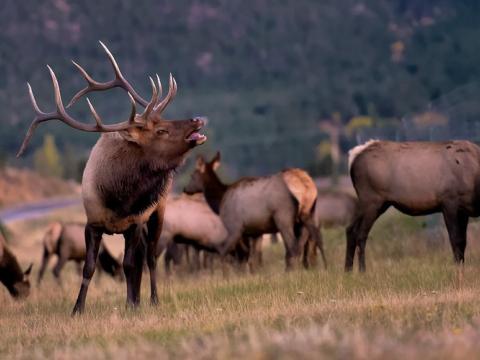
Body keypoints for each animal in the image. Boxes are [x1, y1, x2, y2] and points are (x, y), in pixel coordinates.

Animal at [17, 40, 206, 314]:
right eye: (161, 130)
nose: (198, 119)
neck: (118, 198)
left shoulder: (135, 222)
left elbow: (129, 265)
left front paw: (131, 304)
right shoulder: (92, 223)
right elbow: (89, 268)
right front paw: (77, 308)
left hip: (158, 211)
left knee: (150, 258)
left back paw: (152, 299)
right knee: (143, 258)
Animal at [346, 139, 480, 272]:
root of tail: (354, 158)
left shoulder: (464, 210)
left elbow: (463, 242)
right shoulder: (449, 202)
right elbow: (456, 240)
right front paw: (458, 272)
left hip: (378, 204)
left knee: (351, 230)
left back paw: (348, 270)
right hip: (371, 200)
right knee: (361, 234)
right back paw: (362, 271)